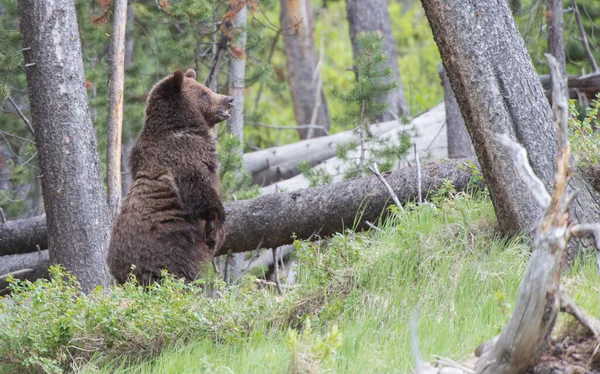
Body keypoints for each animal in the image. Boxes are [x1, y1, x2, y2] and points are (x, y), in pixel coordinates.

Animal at [106, 68, 231, 284]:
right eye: (204, 93)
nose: (229, 99)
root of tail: (122, 272)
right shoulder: (184, 155)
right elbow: (200, 190)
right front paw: (215, 229)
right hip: (170, 250)